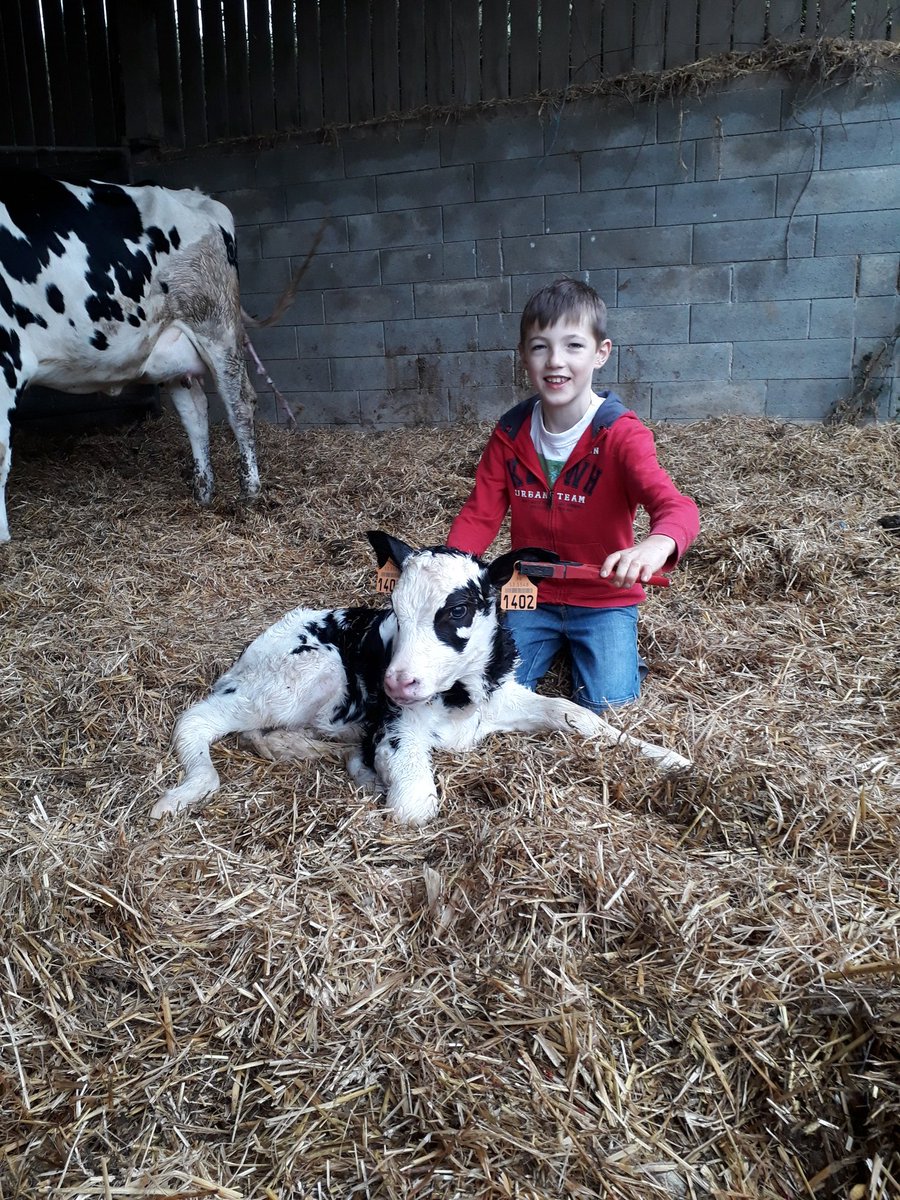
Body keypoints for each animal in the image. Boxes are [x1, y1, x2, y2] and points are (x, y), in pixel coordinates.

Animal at [0, 170, 294, 543]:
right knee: (195, 410)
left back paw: (249, 492)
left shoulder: (7, 356)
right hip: (172, 349)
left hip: (216, 326)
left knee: (239, 402)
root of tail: (199, 197)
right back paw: (203, 492)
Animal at [150, 532, 692, 824]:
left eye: (458, 609)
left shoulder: (502, 699)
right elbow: (416, 805)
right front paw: (375, 776)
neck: (460, 702)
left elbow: (576, 714)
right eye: (394, 608)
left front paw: (668, 757)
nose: (397, 684)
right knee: (199, 720)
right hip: (303, 670)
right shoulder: (397, 729)